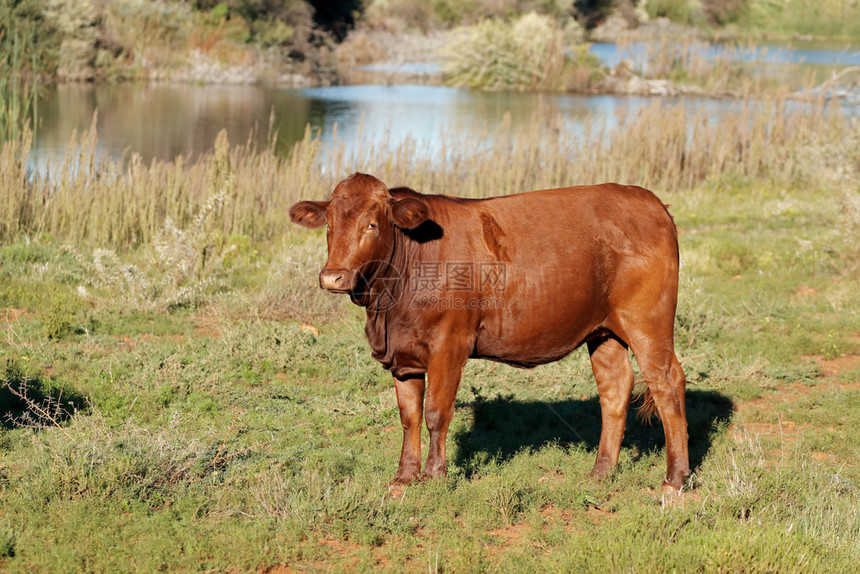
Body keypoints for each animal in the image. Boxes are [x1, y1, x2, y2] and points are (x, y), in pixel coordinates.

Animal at [292, 173, 688, 498]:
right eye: (329, 224)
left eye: (372, 224)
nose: (333, 277)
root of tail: (649, 201)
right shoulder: (404, 356)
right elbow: (409, 416)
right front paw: (403, 478)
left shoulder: (449, 345)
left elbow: (436, 412)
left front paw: (434, 477)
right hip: (604, 330)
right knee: (615, 389)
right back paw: (600, 473)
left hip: (646, 322)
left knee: (667, 383)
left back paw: (674, 480)